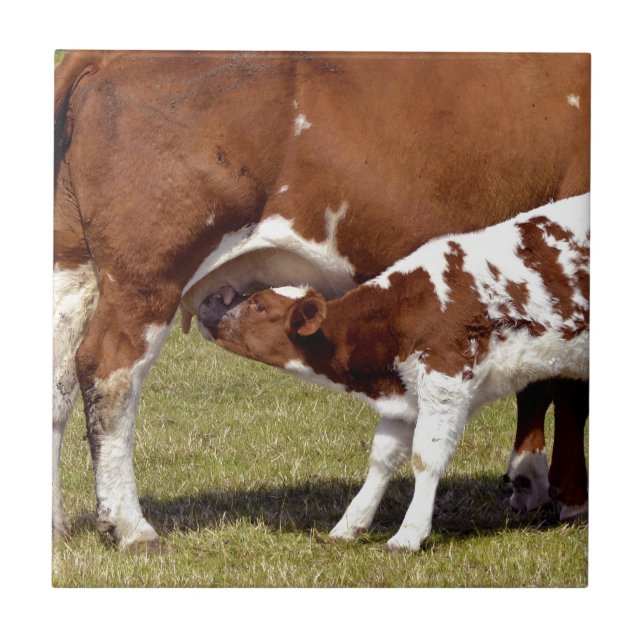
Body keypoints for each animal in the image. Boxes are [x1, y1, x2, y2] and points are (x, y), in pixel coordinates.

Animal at [198, 195, 589, 551]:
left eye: (259, 305)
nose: (211, 299)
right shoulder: (406, 394)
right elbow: (382, 458)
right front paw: (351, 524)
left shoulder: (445, 378)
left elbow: (426, 458)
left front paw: (409, 534)